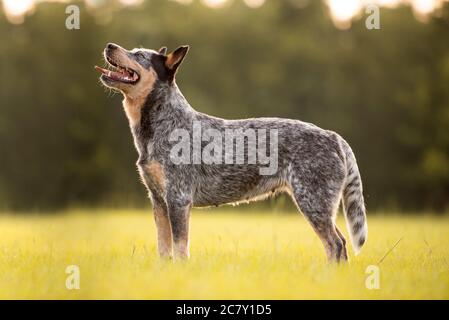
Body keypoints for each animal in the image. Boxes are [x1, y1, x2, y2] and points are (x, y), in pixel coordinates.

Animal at [95, 42, 368, 262]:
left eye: (139, 55)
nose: (109, 45)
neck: (163, 123)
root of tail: (334, 137)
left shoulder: (178, 199)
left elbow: (180, 248)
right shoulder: (158, 201)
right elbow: (164, 249)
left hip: (313, 202)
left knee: (335, 244)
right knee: (340, 243)